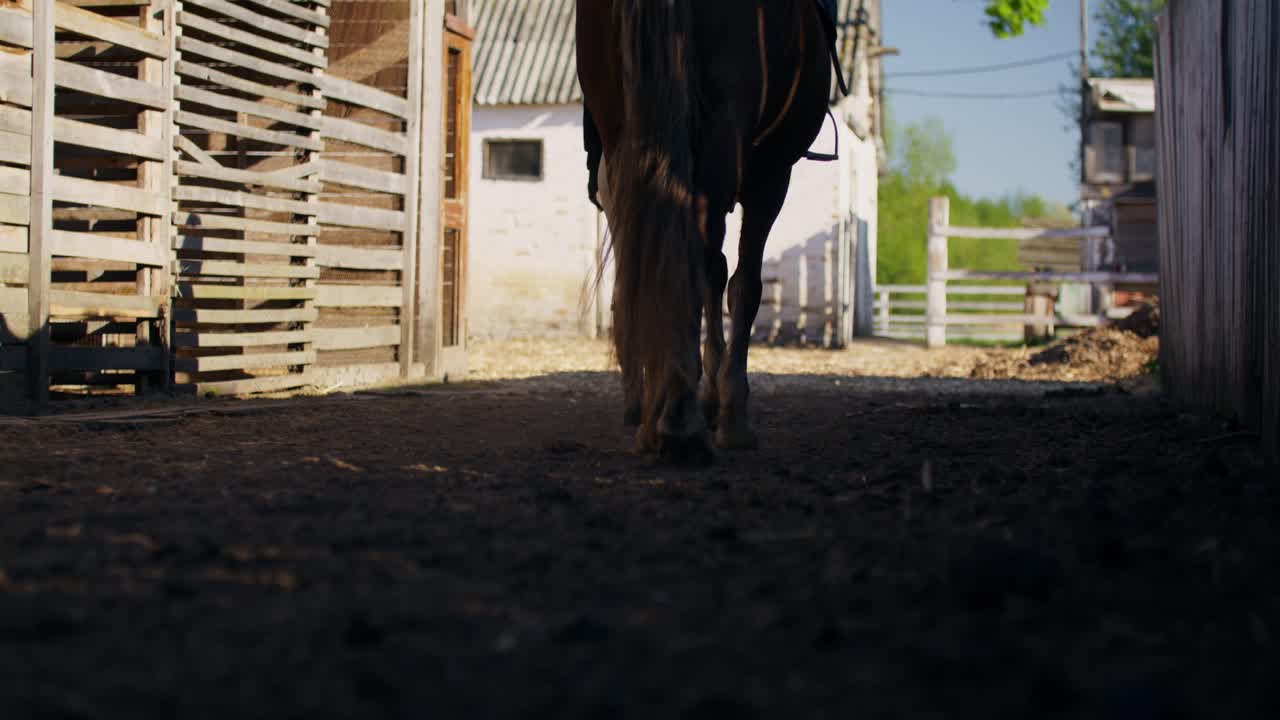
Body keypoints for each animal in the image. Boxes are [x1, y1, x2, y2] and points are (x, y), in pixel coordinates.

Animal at [577, 0, 833, 463]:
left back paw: (656, 412)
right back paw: (680, 418)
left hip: (625, 136)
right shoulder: (771, 173)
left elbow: (713, 275)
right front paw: (730, 413)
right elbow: (743, 286)